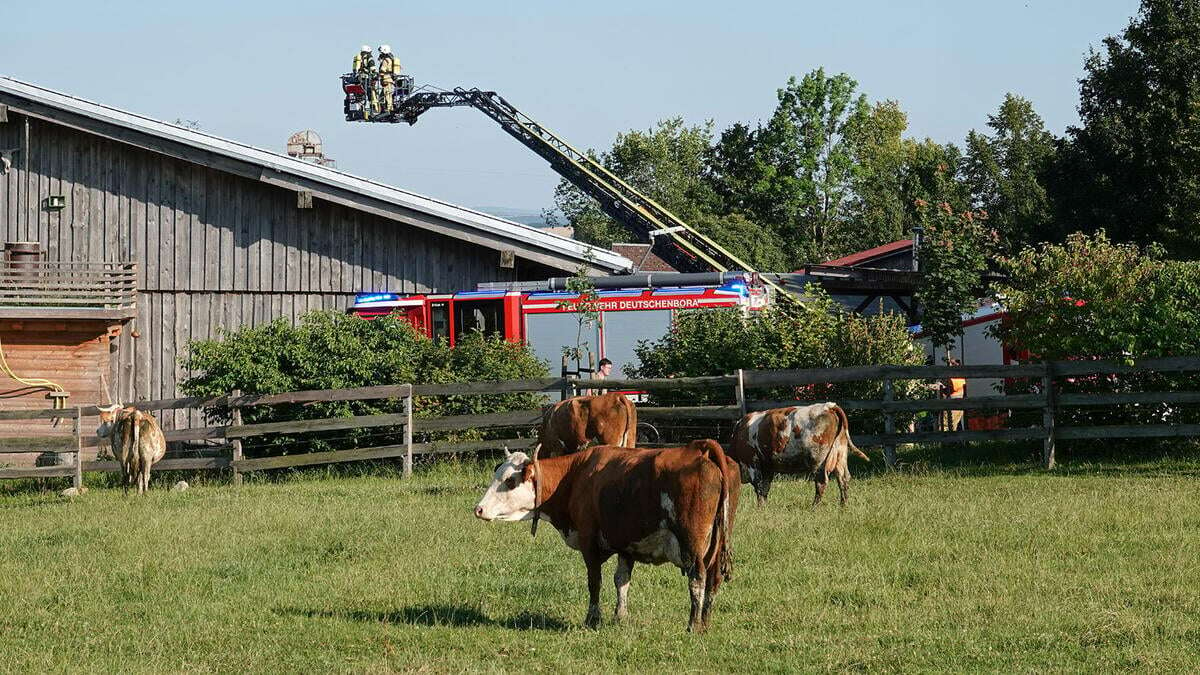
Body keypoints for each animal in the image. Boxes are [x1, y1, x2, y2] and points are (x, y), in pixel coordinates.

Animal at [475, 439, 739, 629]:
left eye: (510, 481)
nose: (478, 509)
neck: (575, 476)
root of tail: (700, 449)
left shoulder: (589, 541)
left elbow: (595, 582)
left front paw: (593, 619)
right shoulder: (626, 544)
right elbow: (621, 580)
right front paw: (620, 616)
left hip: (691, 545)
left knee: (698, 579)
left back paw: (693, 626)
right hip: (716, 543)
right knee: (713, 579)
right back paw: (705, 623)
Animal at [724, 398, 868, 504]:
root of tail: (828, 406)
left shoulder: (752, 463)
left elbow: (758, 487)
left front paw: (760, 509)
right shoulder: (768, 467)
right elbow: (765, 489)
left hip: (818, 459)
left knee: (821, 482)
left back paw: (814, 507)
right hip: (840, 455)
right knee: (843, 479)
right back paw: (843, 505)